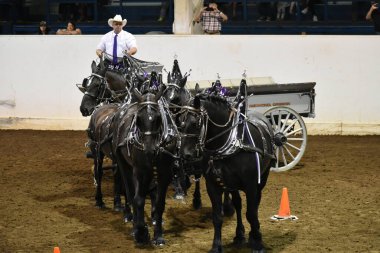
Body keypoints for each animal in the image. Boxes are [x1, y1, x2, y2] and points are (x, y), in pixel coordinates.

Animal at [182, 80, 276, 252]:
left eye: (195, 123)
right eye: (179, 121)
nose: (185, 155)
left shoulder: (251, 184)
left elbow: (251, 213)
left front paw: (258, 242)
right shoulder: (213, 185)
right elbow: (217, 217)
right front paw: (216, 246)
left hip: (262, 178)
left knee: (255, 204)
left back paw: (254, 234)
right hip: (232, 185)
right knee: (238, 204)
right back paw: (239, 234)